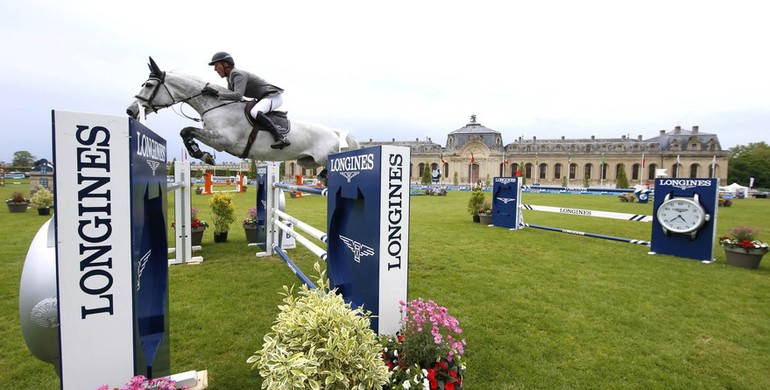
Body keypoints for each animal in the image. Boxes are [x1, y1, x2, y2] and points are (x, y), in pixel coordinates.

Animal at [126, 57, 356, 171]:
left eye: (148, 85)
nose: (131, 110)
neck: (217, 105)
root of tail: (336, 133)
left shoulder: (222, 140)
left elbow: (186, 130)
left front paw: (202, 154)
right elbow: (185, 132)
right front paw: (202, 154)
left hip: (325, 159)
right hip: (305, 162)